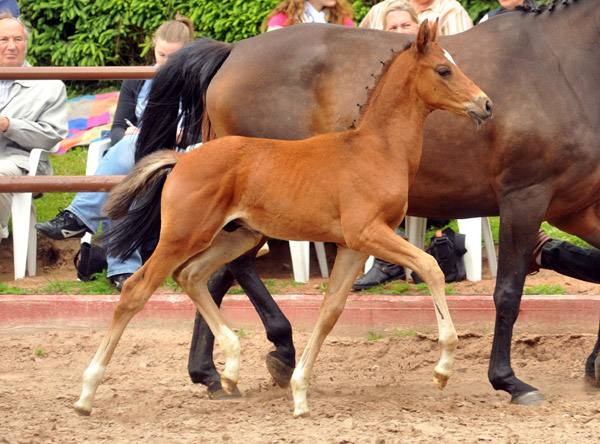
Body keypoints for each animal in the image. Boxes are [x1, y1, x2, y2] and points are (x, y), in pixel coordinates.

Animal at [75, 20, 492, 416]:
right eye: (443, 70)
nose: (485, 104)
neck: (377, 149)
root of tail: (182, 158)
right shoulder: (368, 233)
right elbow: (431, 268)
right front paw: (443, 368)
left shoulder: (354, 246)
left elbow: (330, 310)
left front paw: (300, 393)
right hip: (184, 235)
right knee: (138, 289)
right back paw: (87, 393)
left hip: (238, 236)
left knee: (191, 275)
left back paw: (230, 366)